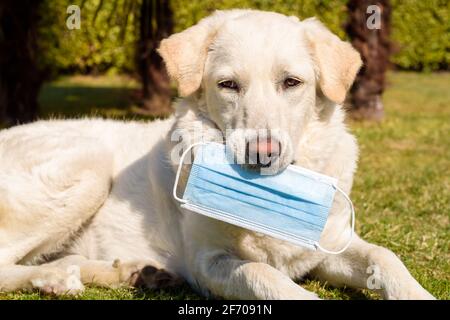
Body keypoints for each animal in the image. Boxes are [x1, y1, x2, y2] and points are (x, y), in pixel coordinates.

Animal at [0, 10, 436, 300]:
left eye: (291, 82)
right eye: (228, 85)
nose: (262, 153)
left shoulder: (332, 245)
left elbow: (386, 257)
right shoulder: (208, 263)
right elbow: (263, 273)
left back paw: (133, 271)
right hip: (89, 168)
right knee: (6, 265)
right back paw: (56, 278)